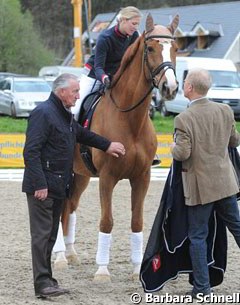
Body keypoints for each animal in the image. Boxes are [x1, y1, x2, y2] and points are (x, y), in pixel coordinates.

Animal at [55, 14, 178, 280]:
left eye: (175, 48)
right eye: (150, 49)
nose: (170, 88)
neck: (130, 120)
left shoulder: (142, 177)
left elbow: (137, 221)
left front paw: (136, 269)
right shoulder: (107, 177)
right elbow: (107, 221)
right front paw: (102, 271)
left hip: (80, 175)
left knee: (70, 206)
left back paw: (71, 254)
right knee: (59, 208)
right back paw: (59, 256)